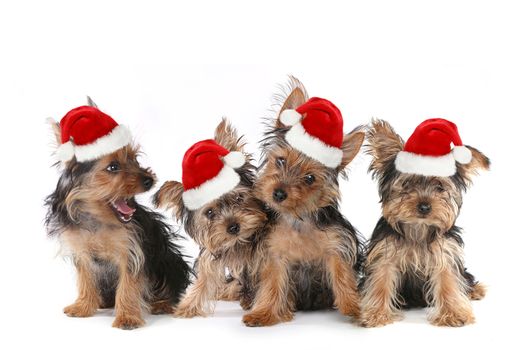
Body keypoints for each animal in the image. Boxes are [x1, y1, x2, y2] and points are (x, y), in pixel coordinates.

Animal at [43, 100, 190, 328]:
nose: (149, 180)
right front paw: (83, 306)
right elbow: (86, 279)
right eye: (113, 167)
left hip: (168, 260)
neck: (97, 218)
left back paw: (161, 304)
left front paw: (127, 317)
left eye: (135, 158)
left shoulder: (131, 251)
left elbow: (128, 284)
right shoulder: (82, 251)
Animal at [151, 119, 266, 318]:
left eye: (239, 198)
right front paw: (185, 307)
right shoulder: (210, 257)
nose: (233, 227)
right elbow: (204, 281)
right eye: (210, 213)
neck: (238, 243)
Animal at [242, 78, 364, 326]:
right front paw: (264, 313)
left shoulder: (337, 245)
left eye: (309, 179)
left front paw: (353, 307)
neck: (297, 217)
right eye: (280, 161)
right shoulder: (274, 253)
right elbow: (272, 283)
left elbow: (342, 275)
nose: (279, 193)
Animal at [360, 119, 488, 326]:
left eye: (439, 187)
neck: (418, 227)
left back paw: (475, 289)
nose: (424, 206)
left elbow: (448, 280)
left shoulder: (446, 252)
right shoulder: (384, 253)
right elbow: (381, 280)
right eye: (407, 184)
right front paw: (376, 313)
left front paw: (453, 313)